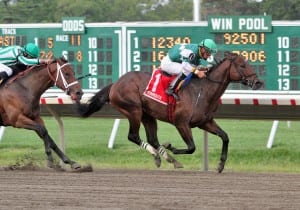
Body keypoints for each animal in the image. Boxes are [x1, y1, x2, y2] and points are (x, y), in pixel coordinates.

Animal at [77, 52, 262, 172]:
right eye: (242, 65)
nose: (258, 82)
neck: (202, 91)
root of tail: (115, 84)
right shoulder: (181, 123)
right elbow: (191, 147)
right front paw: (171, 146)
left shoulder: (205, 122)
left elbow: (225, 137)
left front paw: (220, 165)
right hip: (133, 110)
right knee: (134, 136)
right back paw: (162, 155)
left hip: (148, 115)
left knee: (152, 139)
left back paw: (166, 158)